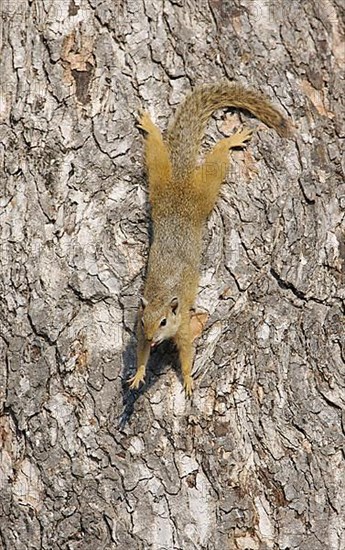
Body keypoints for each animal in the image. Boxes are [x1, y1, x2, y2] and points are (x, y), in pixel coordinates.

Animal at [127, 81, 288, 396]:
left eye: (164, 321)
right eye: (144, 319)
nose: (153, 338)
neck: (163, 296)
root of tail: (180, 183)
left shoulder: (184, 326)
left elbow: (187, 352)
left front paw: (189, 379)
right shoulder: (140, 332)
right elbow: (140, 351)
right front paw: (139, 373)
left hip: (204, 192)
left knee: (215, 160)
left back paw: (231, 141)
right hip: (160, 184)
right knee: (156, 152)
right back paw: (150, 127)